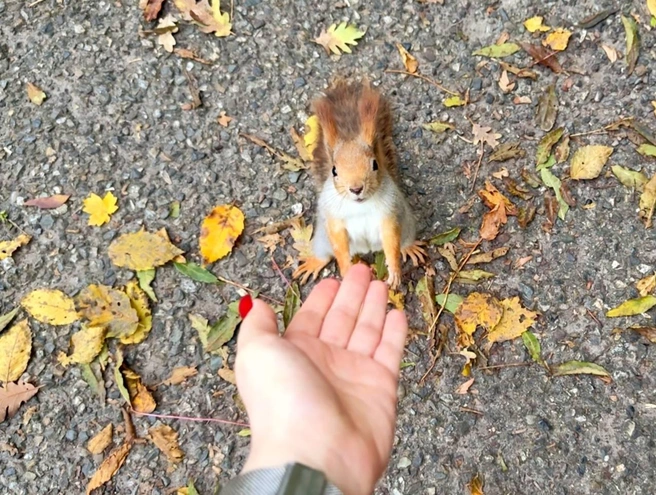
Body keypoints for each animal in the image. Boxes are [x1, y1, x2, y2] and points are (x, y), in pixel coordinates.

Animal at [293, 80, 426, 289]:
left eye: (375, 164)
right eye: (334, 171)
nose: (356, 189)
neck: (360, 206)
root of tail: (365, 249)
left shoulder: (389, 212)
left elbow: (391, 239)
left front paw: (394, 271)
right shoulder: (334, 218)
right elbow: (339, 243)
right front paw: (347, 268)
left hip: (408, 225)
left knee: (403, 241)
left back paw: (410, 247)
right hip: (321, 239)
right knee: (325, 253)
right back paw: (315, 261)